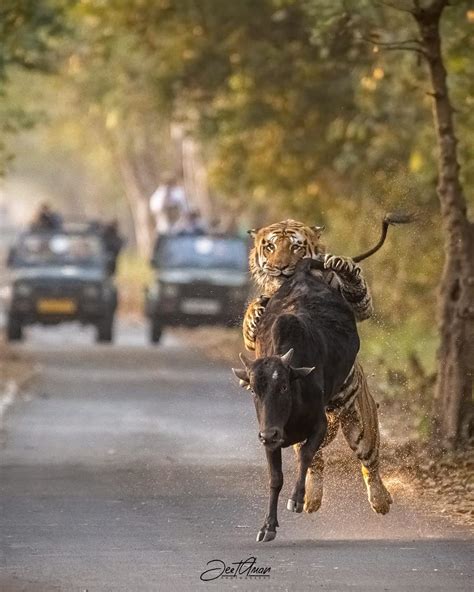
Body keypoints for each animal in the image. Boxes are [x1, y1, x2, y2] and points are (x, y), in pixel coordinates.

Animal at [243, 220, 390, 516]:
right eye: (270, 246)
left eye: (296, 246)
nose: (280, 267)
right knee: (317, 461)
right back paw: (313, 497)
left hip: (360, 421)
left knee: (369, 459)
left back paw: (381, 500)